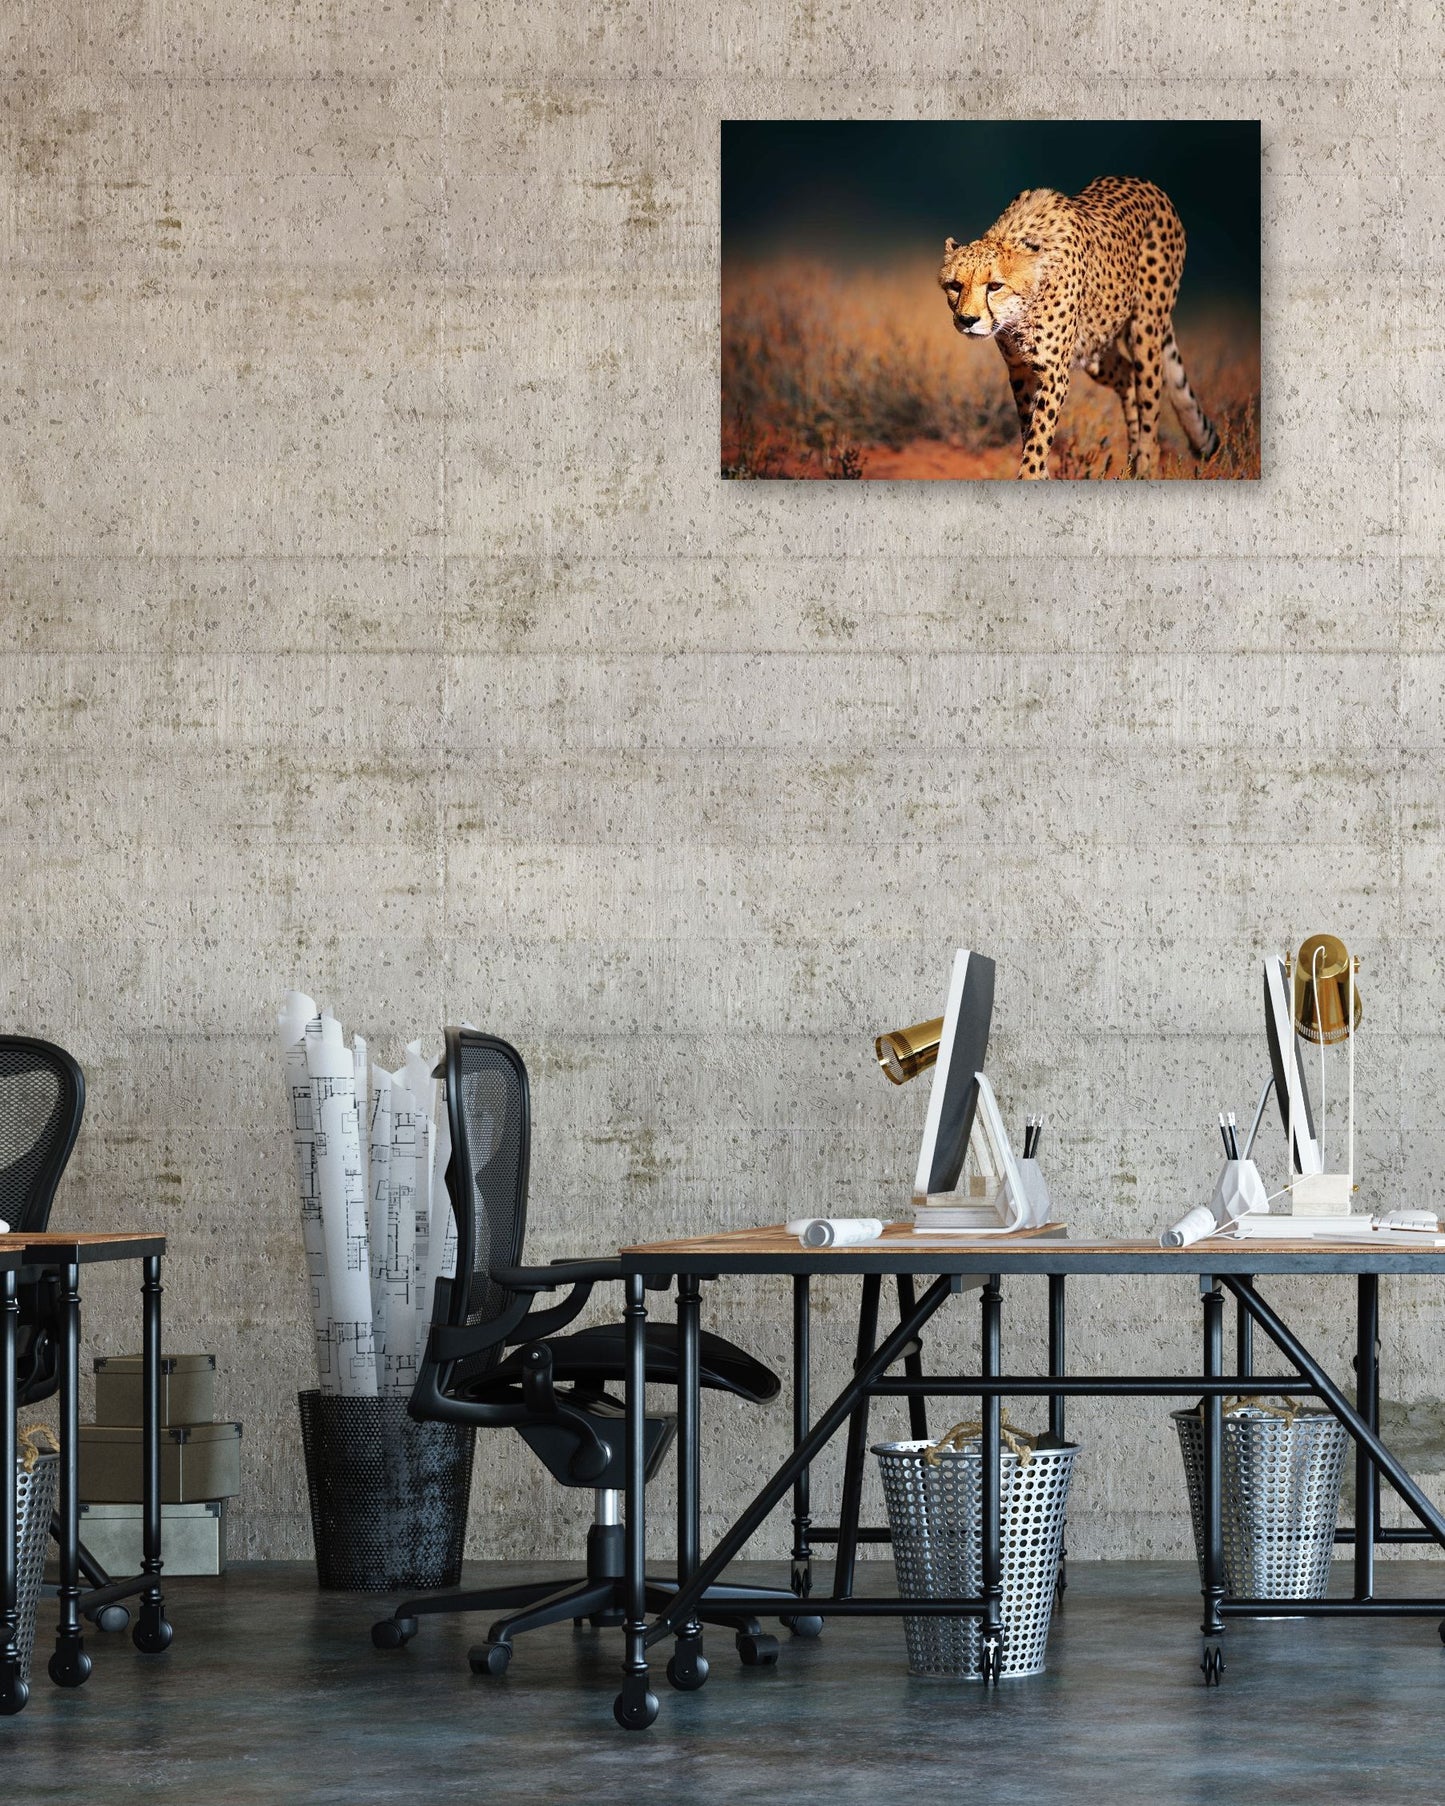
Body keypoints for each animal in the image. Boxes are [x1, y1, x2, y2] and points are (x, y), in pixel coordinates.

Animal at [938, 176, 1221, 480]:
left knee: (1149, 404)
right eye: (955, 285)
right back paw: (1131, 461)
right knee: (1126, 374)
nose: (967, 320)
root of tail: (1145, 183)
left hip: (1146, 331)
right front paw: (1042, 474)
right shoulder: (1020, 368)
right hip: (1094, 348)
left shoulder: (1053, 373)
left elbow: (1039, 437)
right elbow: (1029, 429)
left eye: (994, 286)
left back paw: (1144, 466)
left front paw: (1031, 475)